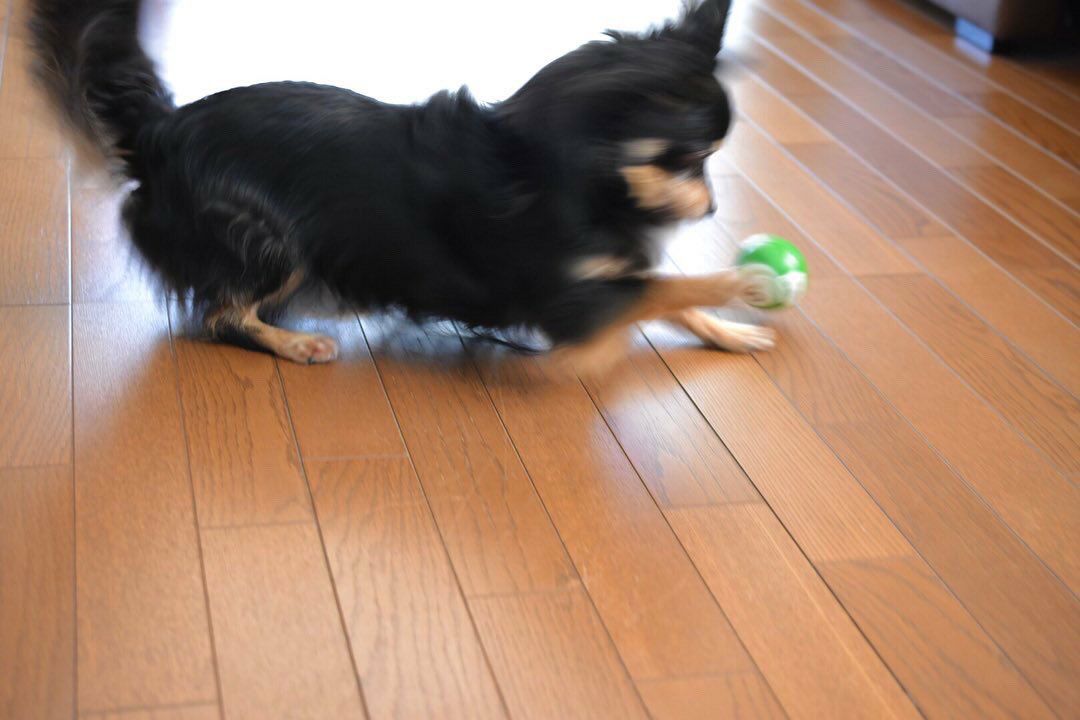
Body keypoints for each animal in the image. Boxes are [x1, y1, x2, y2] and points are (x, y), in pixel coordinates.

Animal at [31, 0, 774, 372]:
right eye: (692, 158)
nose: (713, 207)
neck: (589, 174)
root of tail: (161, 130)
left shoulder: (608, 272)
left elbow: (661, 289)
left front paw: (729, 332)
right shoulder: (571, 306)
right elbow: (663, 287)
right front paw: (747, 283)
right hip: (273, 240)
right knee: (220, 315)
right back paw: (296, 344)